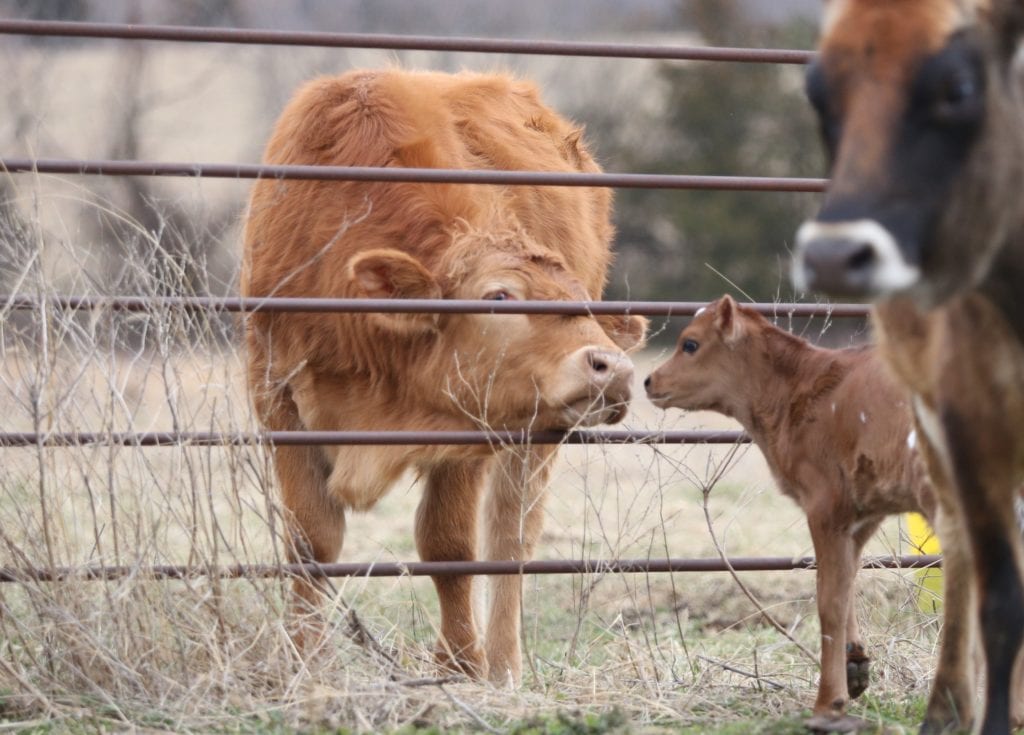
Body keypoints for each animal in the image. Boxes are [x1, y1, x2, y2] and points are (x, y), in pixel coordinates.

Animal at [237, 67, 647, 683]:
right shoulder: (279, 403)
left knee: (510, 537)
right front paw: (305, 659)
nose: (613, 367)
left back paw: (503, 664)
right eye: (498, 297)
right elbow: (311, 542)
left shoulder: (469, 425)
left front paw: (459, 663)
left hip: (533, 439)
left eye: (582, 304)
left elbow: (448, 546)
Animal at [790, 2, 1024, 732]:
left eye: (957, 88)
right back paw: (950, 702)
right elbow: (1001, 598)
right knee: (963, 552)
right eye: (818, 92)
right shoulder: (969, 423)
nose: (834, 254)